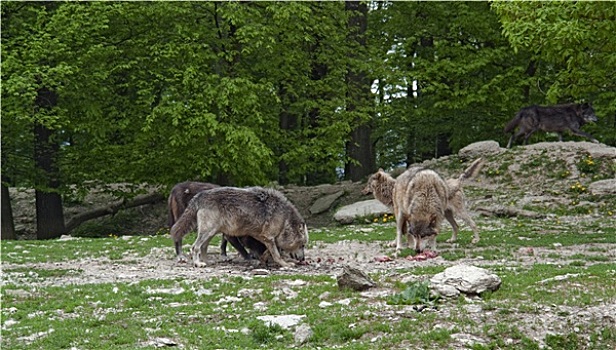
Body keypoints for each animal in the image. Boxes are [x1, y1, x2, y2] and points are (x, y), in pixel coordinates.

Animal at [170, 187, 306, 266]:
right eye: (303, 245)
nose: (303, 259)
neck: (285, 219)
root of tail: (199, 196)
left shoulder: (265, 238)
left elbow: (270, 251)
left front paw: (263, 259)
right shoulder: (268, 237)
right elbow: (276, 254)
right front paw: (285, 264)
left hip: (212, 232)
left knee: (203, 247)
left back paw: (207, 261)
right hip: (208, 231)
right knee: (195, 247)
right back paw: (198, 263)